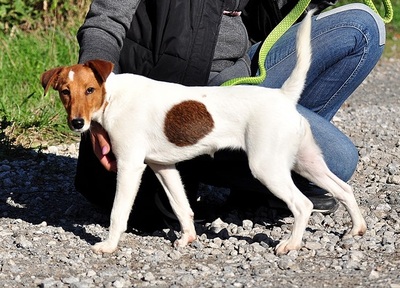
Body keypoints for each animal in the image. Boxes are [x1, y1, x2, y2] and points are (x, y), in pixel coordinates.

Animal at [39, 12, 366, 255]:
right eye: (65, 92)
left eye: (89, 90)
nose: (77, 123)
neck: (113, 97)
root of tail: (283, 96)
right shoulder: (163, 167)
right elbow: (182, 207)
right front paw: (187, 238)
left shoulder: (131, 166)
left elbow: (118, 212)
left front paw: (108, 245)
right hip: (307, 162)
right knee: (343, 189)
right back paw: (357, 229)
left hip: (267, 167)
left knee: (303, 204)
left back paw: (291, 244)